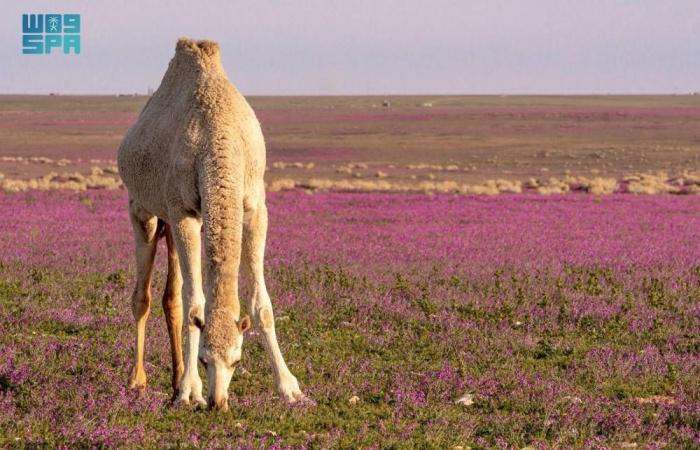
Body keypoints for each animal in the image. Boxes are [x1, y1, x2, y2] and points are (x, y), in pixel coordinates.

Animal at [116, 37, 304, 412]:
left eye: (237, 360)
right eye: (204, 359)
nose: (219, 402)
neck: (218, 139)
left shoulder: (253, 206)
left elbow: (261, 305)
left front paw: (290, 387)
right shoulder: (183, 211)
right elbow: (196, 305)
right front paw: (192, 390)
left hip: (171, 222)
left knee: (170, 297)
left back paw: (174, 381)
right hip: (144, 211)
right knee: (142, 295)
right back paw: (139, 382)